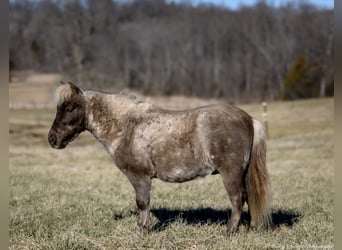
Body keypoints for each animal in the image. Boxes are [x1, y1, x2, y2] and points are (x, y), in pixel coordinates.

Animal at [48, 80, 272, 234]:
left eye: (69, 108)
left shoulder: (139, 176)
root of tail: (249, 119)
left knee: (237, 199)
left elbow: (142, 202)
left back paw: (229, 231)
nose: (52, 139)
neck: (127, 127)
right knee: (248, 197)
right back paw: (251, 227)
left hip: (230, 173)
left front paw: (143, 229)